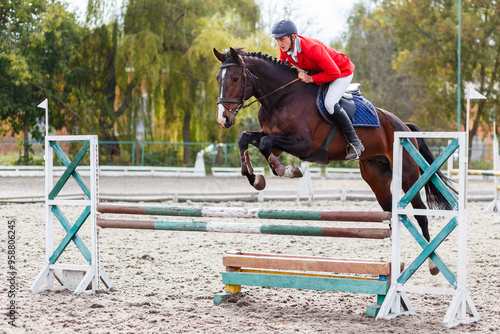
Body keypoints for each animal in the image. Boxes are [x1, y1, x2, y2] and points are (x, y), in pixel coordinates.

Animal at [213, 48, 456, 276]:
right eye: (218, 78)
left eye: (235, 78)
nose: (223, 119)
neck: (282, 97)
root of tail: (403, 125)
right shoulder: (277, 141)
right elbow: (245, 138)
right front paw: (255, 178)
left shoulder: (303, 144)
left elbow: (265, 144)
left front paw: (287, 170)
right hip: (377, 178)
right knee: (390, 212)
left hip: (408, 175)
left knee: (421, 213)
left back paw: (432, 264)